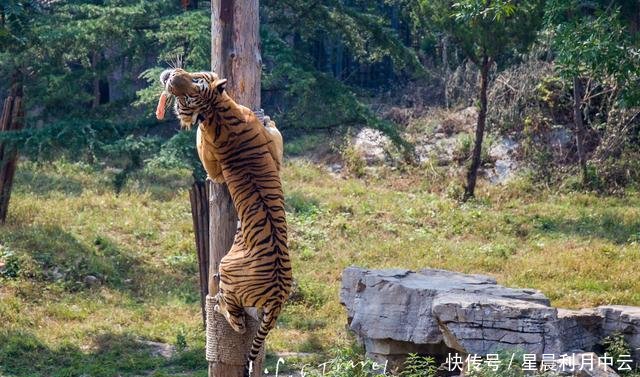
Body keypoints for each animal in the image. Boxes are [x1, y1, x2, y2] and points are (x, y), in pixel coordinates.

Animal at [156, 68, 292, 376]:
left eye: (192, 86)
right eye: (186, 91)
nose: (171, 77)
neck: (216, 108)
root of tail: (278, 296)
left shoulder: (217, 171)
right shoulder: (275, 156)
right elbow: (276, 137)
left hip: (226, 268)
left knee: (237, 321)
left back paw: (216, 306)